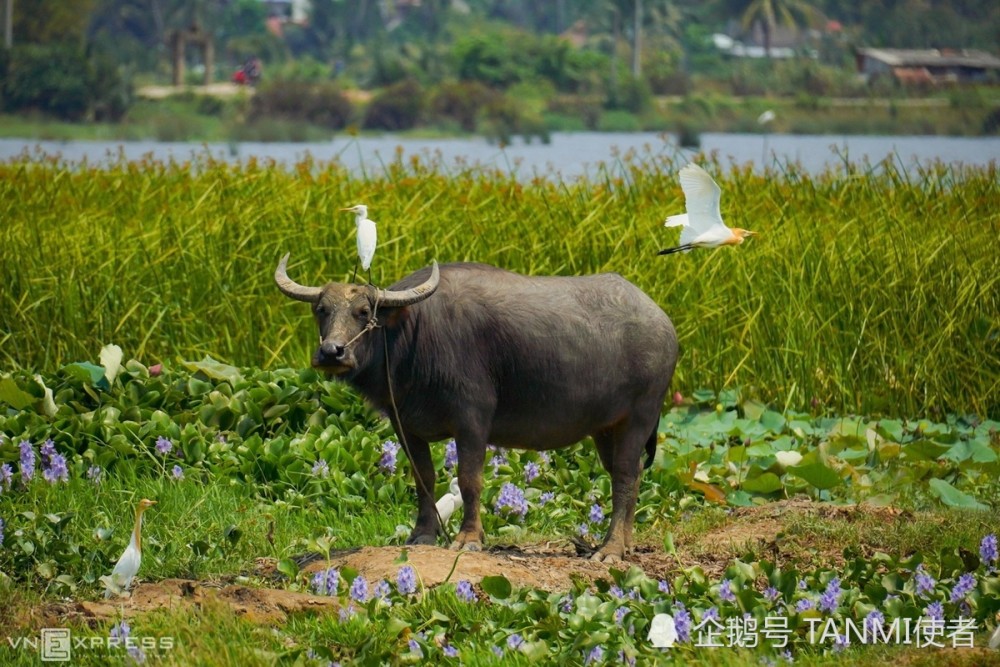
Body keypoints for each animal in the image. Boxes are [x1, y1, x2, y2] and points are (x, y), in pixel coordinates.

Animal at [274, 258, 680, 564]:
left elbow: (470, 480)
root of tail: (663, 322)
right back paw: (624, 543)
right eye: (322, 310)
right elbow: (423, 478)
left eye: (362, 312)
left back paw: (609, 550)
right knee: (628, 475)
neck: (414, 335)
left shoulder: (472, 421)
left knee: (625, 475)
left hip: (639, 417)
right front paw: (422, 534)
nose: (332, 352)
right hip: (606, 428)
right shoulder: (406, 426)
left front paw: (468, 538)